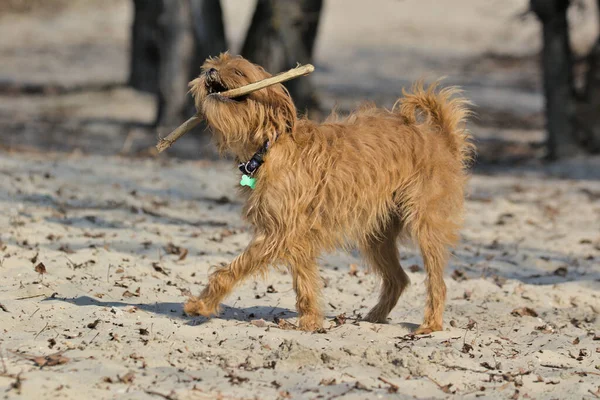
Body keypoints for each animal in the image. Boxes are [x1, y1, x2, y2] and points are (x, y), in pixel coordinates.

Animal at [183, 54, 474, 334]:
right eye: (216, 62)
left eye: (238, 72)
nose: (209, 71)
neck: (269, 144)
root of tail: (442, 139)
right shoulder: (294, 235)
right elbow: (305, 281)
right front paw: (311, 321)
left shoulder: (278, 232)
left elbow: (232, 270)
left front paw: (202, 304)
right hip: (377, 237)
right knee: (399, 278)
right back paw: (375, 316)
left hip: (425, 227)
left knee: (436, 281)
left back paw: (430, 325)